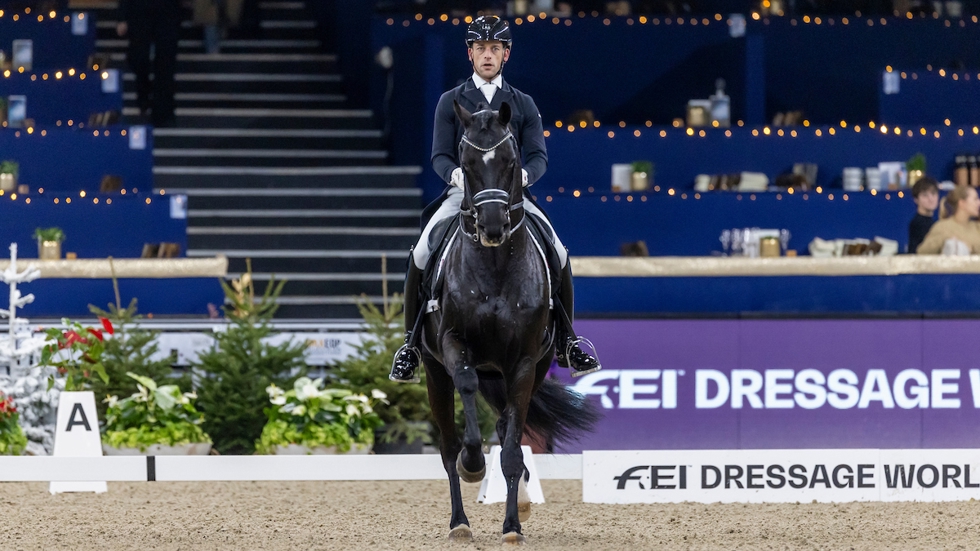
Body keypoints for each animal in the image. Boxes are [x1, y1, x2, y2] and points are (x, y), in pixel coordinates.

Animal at [420, 101, 596, 544]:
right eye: (465, 163)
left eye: (511, 161)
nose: (493, 227)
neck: (496, 266)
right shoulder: (453, 343)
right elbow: (466, 392)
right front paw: (472, 464)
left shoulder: (523, 362)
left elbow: (514, 448)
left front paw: (513, 525)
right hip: (432, 370)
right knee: (447, 446)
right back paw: (459, 521)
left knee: (505, 426)